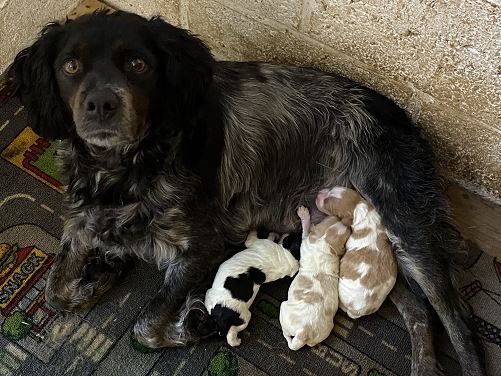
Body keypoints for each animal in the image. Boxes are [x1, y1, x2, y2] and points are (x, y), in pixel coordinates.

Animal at [280, 206, 350, 350]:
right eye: (336, 217)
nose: (349, 224)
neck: (324, 243)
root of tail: (303, 333)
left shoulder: (306, 240)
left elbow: (306, 230)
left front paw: (304, 214)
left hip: (283, 307)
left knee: (286, 333)